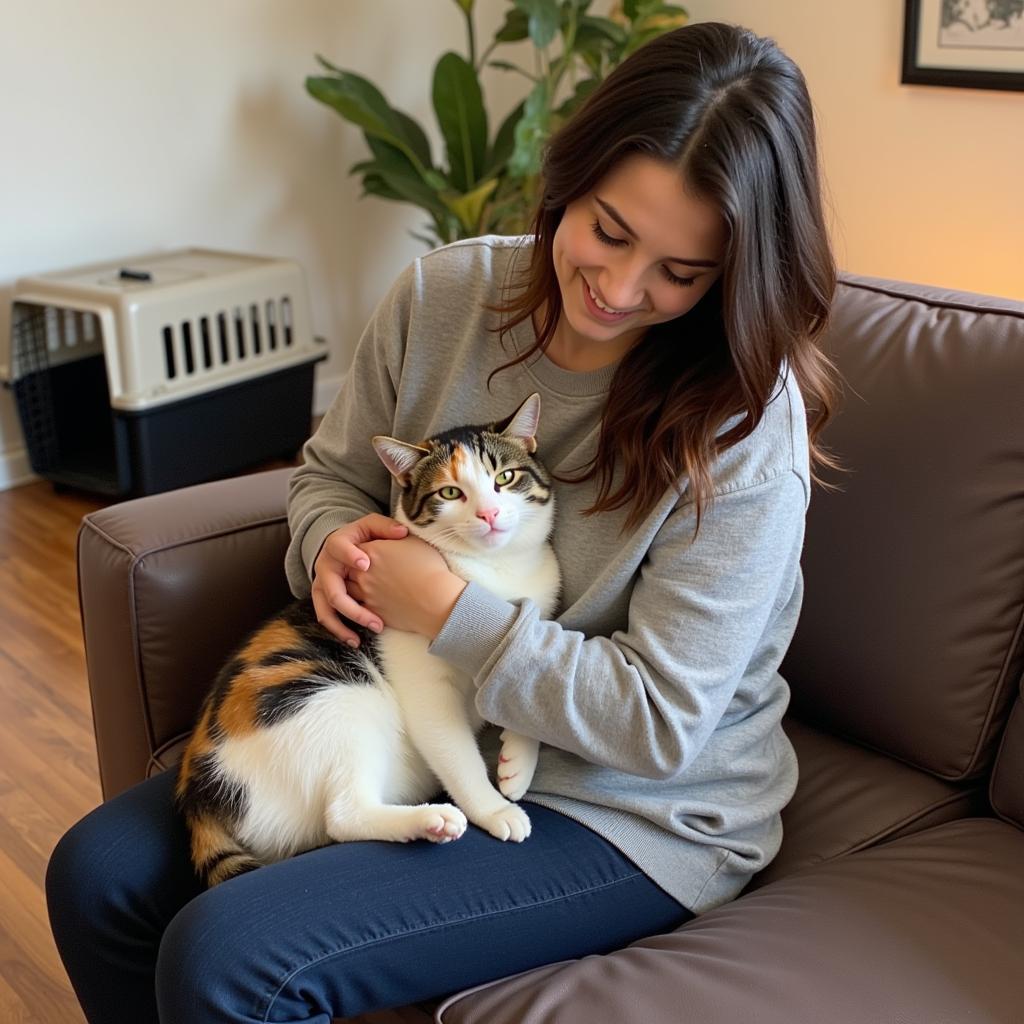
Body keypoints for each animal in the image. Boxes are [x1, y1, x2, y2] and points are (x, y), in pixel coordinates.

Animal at [176, 393, 561, 888]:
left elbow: (522, 683)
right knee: (343, 815)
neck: (495, 573)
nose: (489, 514)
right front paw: (494, 808)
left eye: (505, 478)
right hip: (335, 697)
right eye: (449, 493)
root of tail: (198, 794)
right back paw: (430, 819)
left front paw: (517, 762)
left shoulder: (533, 624)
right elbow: (457, 753)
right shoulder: (427, 690)